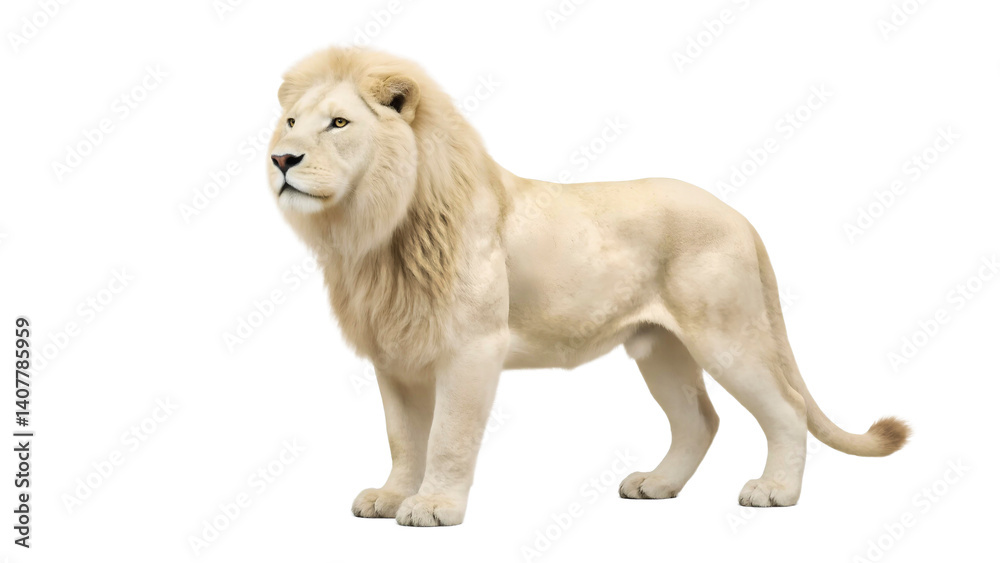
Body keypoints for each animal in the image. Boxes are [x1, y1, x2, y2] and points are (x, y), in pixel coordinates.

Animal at [267, 47, 910, 526]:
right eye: (292, 122)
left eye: (339, 123)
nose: (280, 159)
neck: (378, 231)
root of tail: (738, 215)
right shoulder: (395, 354)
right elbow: (403, 436)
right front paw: (392, 495)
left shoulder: (472, 348)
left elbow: (448, 435)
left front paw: (433, 506)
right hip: (660, 347)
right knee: (700, 419)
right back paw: (657, 485)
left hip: (727, 335)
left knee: (786, 408)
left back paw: (775, 492)